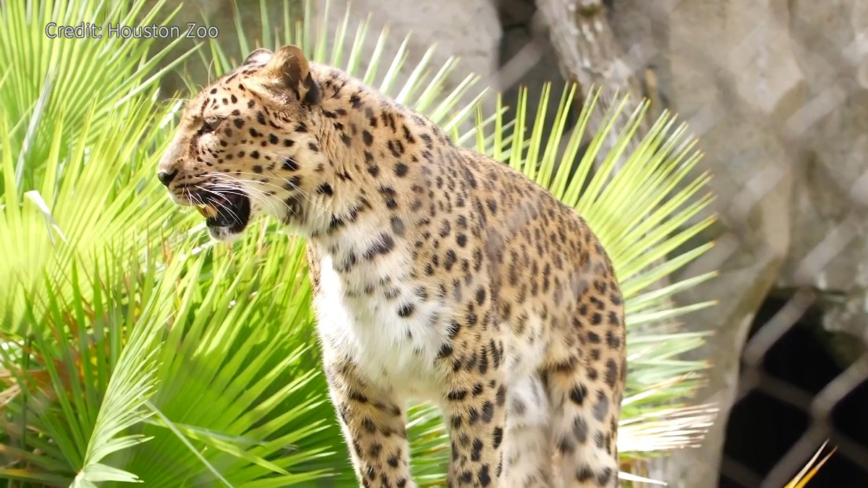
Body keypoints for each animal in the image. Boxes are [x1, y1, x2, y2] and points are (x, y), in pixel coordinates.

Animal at [158, 44, 624, 488]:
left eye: (211, 125)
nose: (162, 174)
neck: (341, 235)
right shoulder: (357, 380)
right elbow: (379, 469)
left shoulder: (476, 369)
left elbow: (474, 467)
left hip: (588, 422)